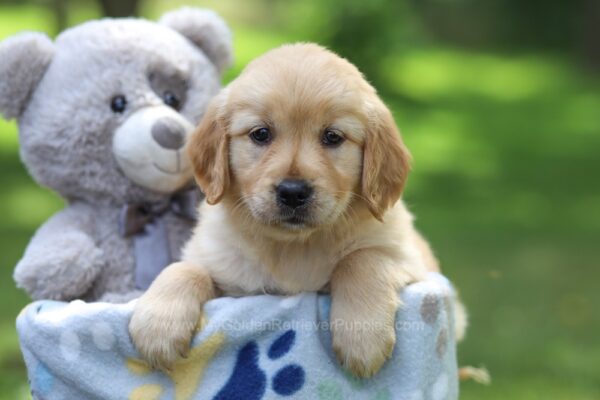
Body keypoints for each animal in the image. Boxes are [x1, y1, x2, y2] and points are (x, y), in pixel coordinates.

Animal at [129, 43, 462, 378]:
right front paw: (158, 324)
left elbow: (362, 258)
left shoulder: (412, 260)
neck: (294, 246)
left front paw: (362, 335)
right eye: (261, 133)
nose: (292, 192)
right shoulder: (225, 271)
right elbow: (185, 268)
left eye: (333, 136)